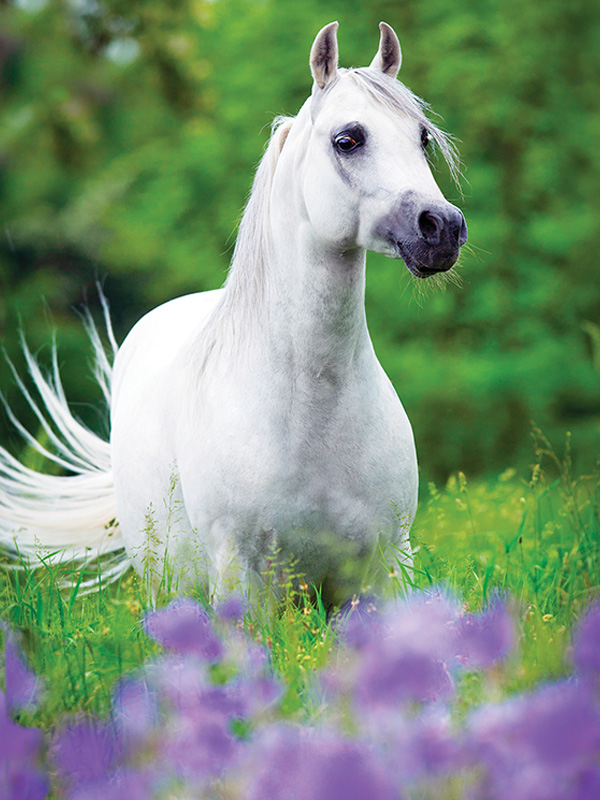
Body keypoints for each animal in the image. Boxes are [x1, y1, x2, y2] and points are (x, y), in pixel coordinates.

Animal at [0, 22, 467, 609]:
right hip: (168, 585)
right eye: (348, 139)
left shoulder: (384, 567)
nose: (442, 228)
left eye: (422, 138)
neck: (311, 412)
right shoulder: (238, 574)